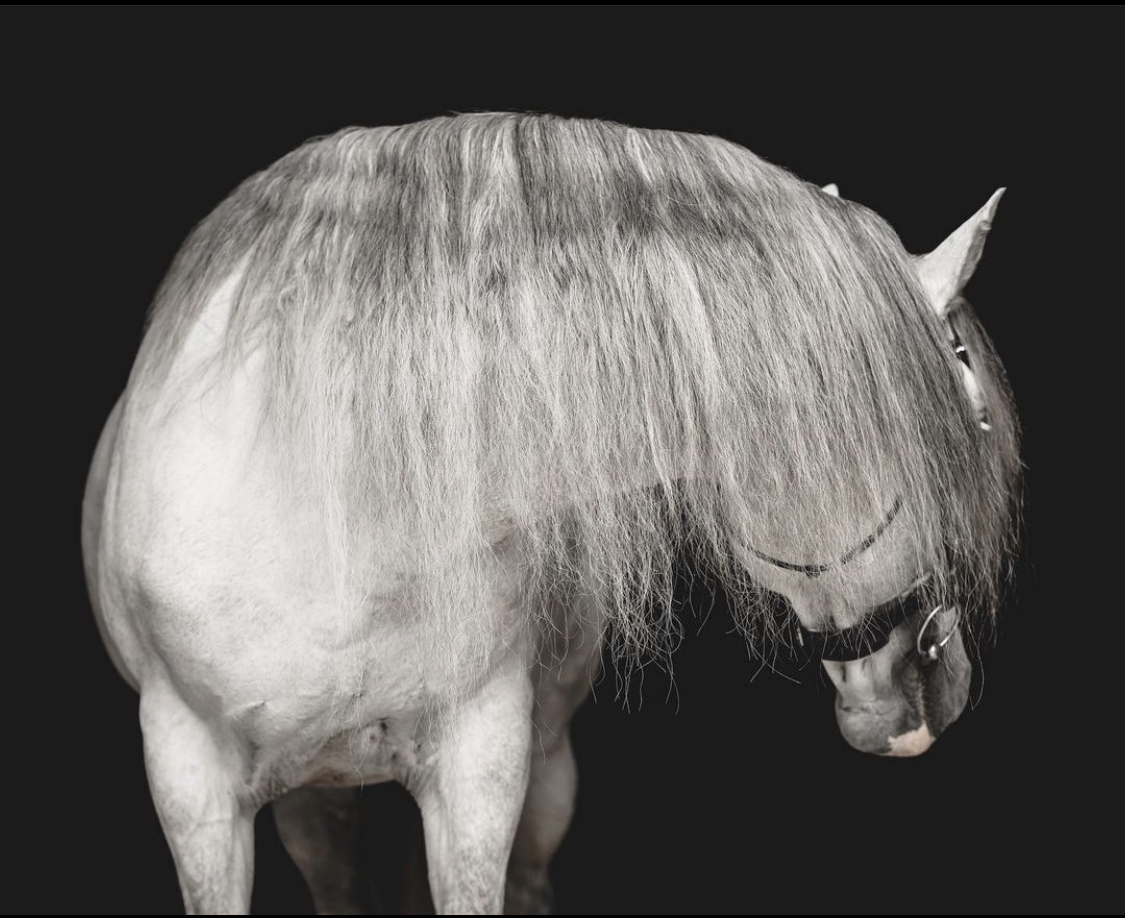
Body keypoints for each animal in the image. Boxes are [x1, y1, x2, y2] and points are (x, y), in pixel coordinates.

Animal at [81, 113, 1021, 915]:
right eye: (965, 426)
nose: (940, 684)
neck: (329, 502)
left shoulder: (481, 767)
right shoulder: (189, 778)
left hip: (543, 768)